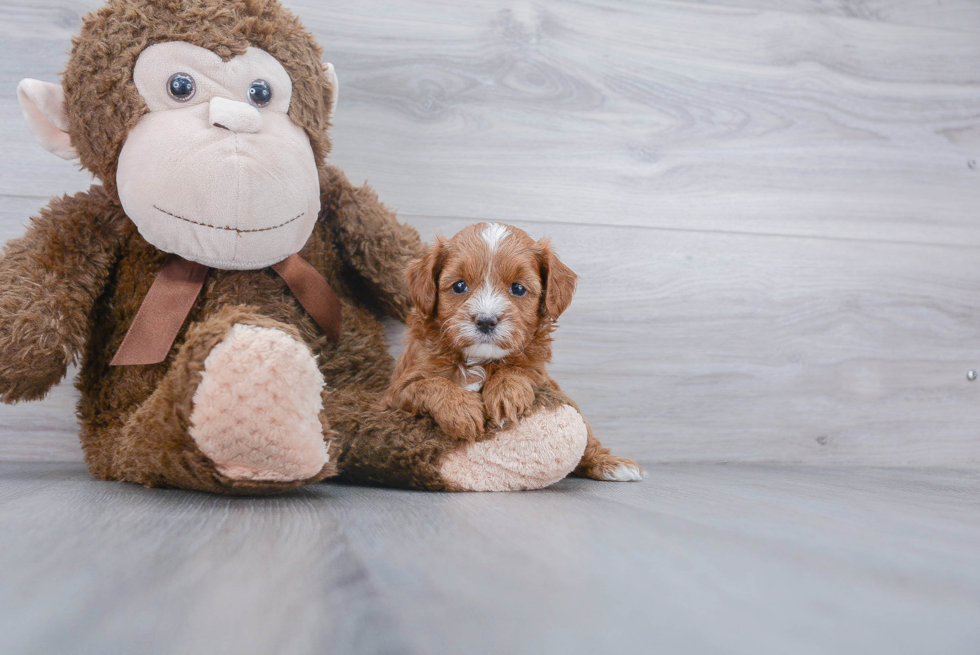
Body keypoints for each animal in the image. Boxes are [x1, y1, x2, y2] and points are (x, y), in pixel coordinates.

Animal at [386, 223, 648, 484]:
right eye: (459, 286)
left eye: (518, 288)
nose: (486, 320)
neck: (479, 359)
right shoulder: (396, 392)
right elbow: (428, 384)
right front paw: (461, 410)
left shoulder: (540, 374)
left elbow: (520, 370)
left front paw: (505, 395)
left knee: (588, 437)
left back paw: (611, 464)